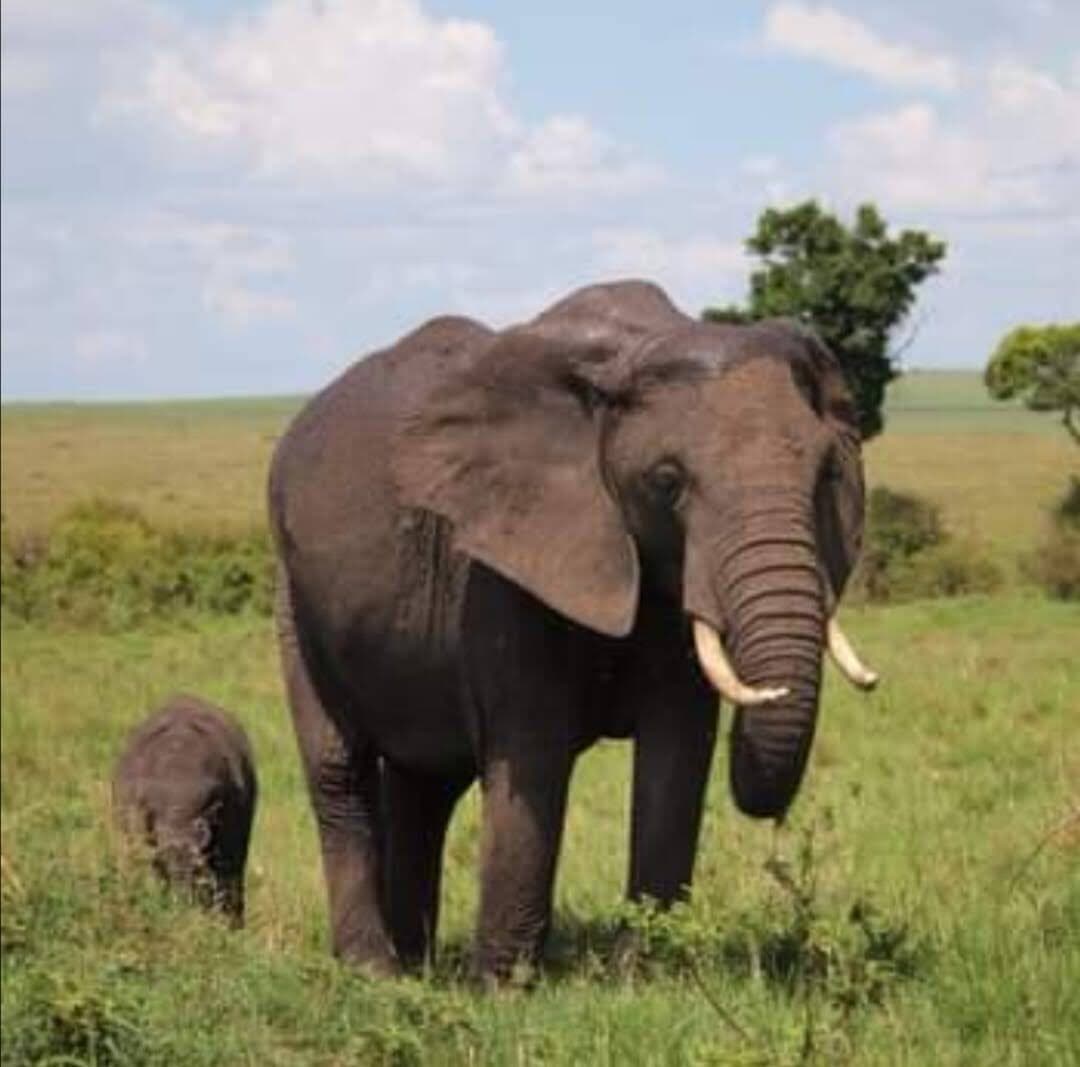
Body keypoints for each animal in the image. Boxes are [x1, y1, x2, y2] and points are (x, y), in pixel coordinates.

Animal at [268, 279, 878, 981]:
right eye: (667, 481)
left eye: (826, 475)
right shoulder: (501, 565)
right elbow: (532, 750)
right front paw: (506, 989)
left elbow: (677, 753)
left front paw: (642, 978)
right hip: (295, 597)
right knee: (340, 774)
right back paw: (377, 971)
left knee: (426, 786)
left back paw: (418, 963)